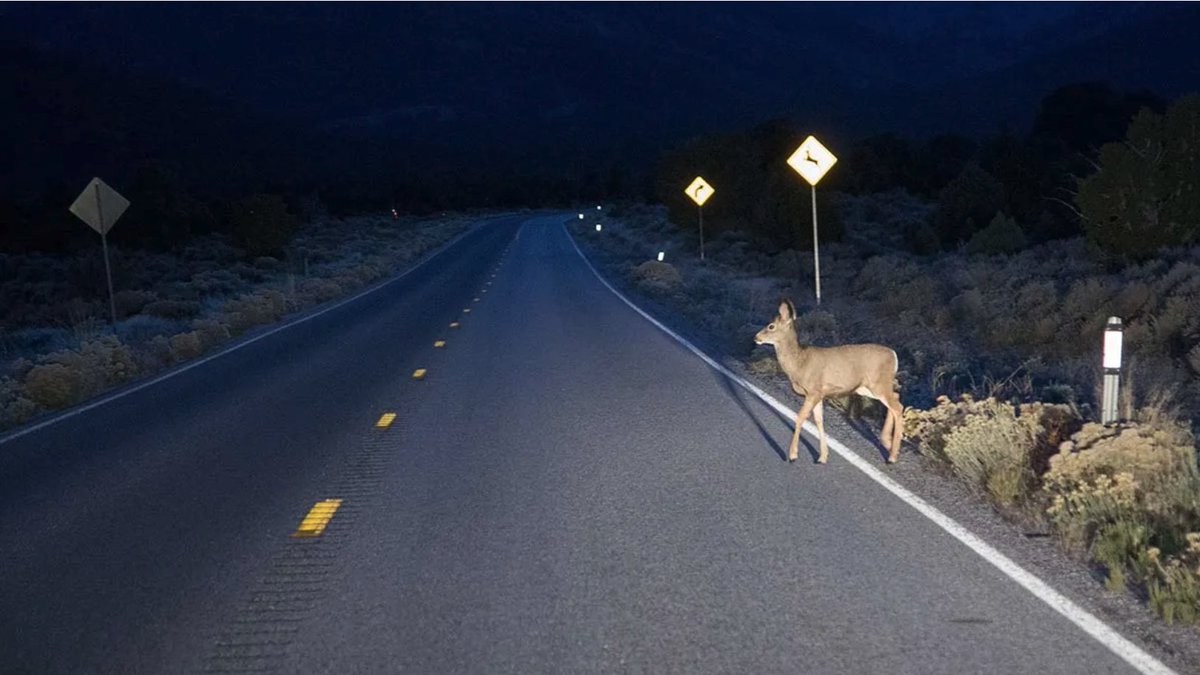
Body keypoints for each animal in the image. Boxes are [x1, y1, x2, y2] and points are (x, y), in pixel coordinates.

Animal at [754, 299, 904, 464]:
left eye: (771, 326)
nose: (756, 337)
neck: (799, 363)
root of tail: (894, 355)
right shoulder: (819, 394)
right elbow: (819, 420)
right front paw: (822, 457)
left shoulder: (813, 391)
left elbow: (800, 418)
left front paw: (792, 455)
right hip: (866, 387)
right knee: (896, 398)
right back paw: (887, 442)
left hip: (879, 383)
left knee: (898, 407)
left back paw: (892, 456)